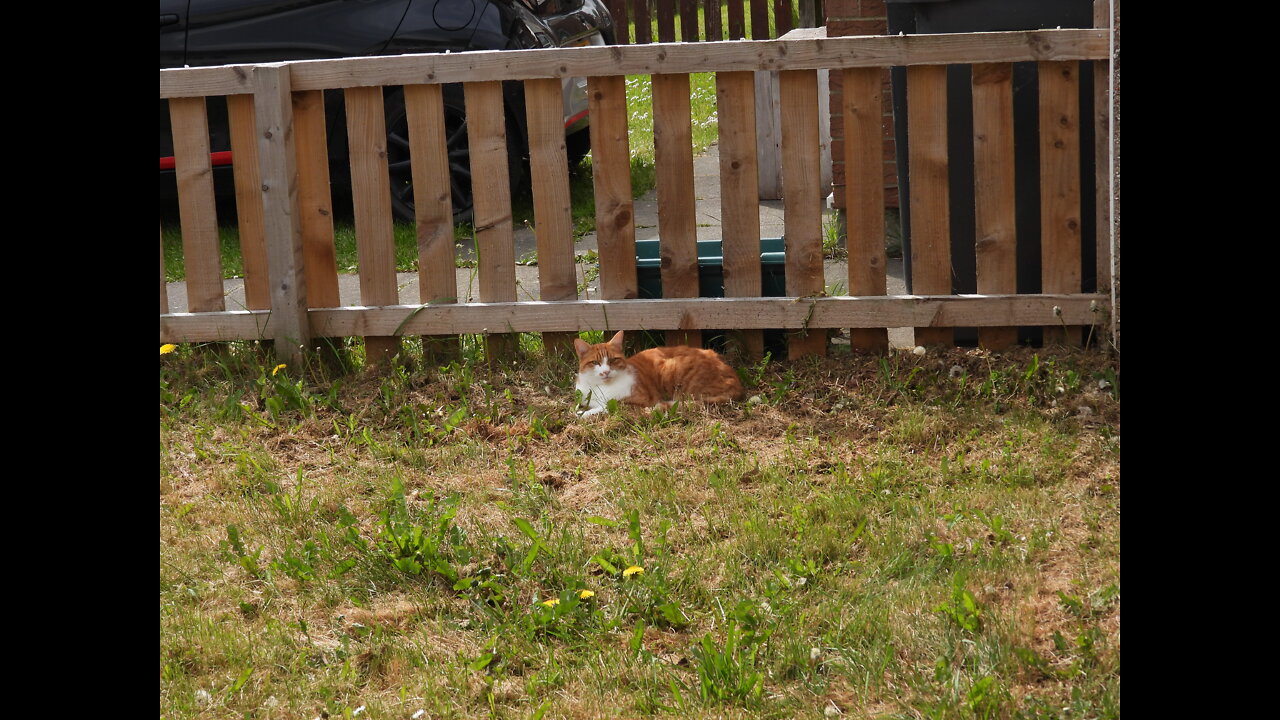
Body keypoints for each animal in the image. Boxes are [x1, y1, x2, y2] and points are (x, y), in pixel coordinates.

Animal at [576, 330, 747, 415]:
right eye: (595, 363)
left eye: (612, 360)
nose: (605, 372)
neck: (602, 388)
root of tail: (737, 383)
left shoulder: (639, 401)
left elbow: (610, 406)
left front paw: (584, 414)